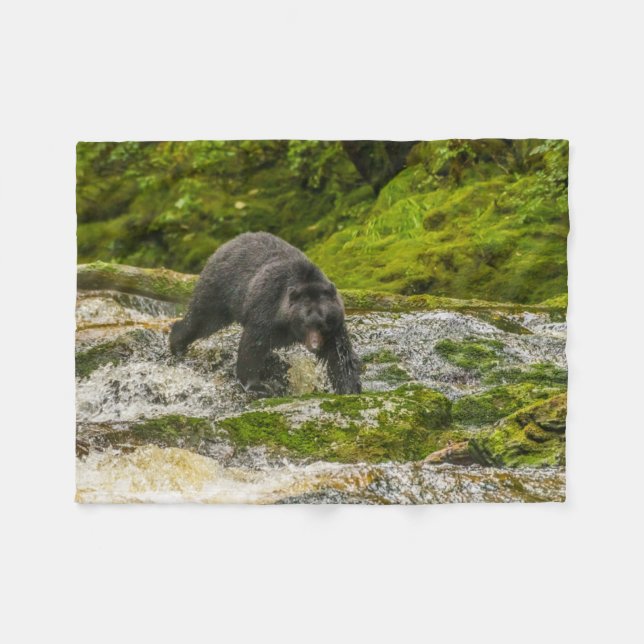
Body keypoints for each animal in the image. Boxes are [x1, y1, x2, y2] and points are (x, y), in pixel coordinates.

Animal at [169, 232, 362, 395]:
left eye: (323, 323)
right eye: (304, 322)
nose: (315, 346)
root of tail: (227, 244)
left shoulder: (335, 328)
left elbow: (339, 356)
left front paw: (350, 388)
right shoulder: (267, 308)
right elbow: (253, 345)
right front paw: (258, 385)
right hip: (220, 289)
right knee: (201, 319)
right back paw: (177, 344)